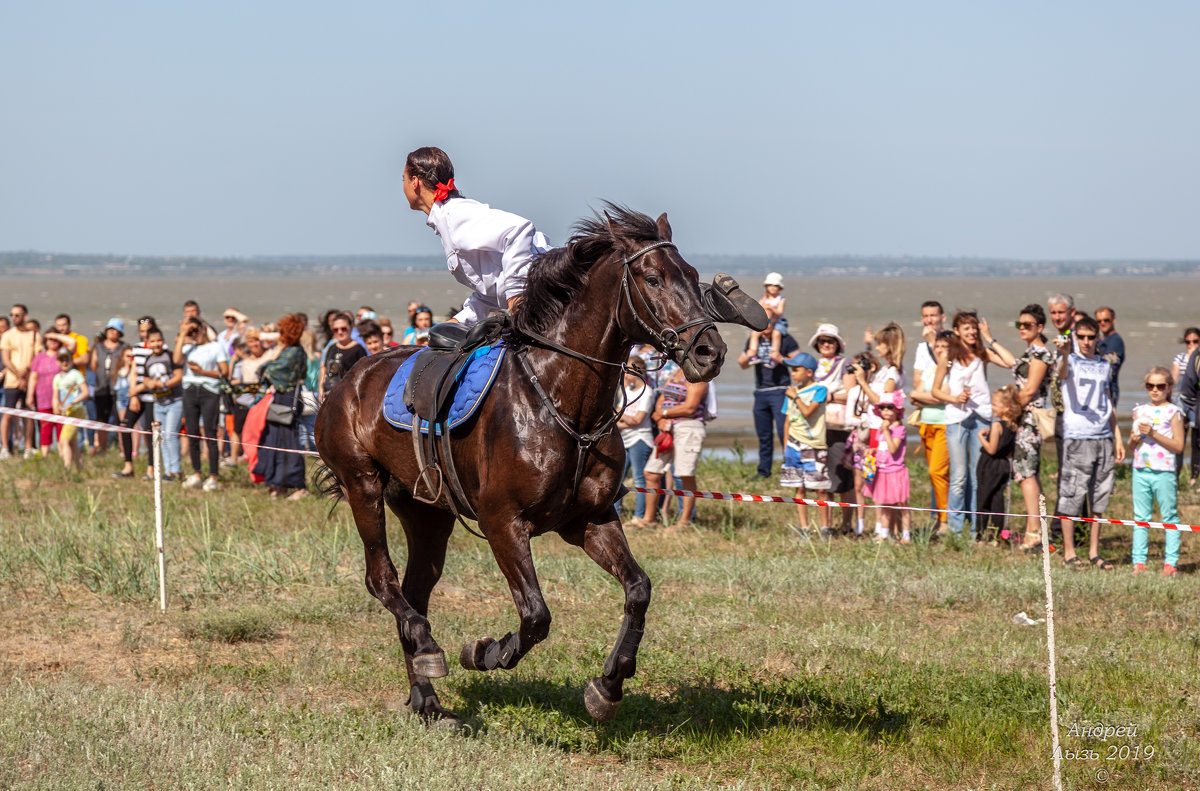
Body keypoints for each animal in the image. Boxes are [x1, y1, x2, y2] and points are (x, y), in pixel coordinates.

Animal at [314, 205, 724, 724]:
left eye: (692, 275)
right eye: (652, 278)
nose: (710, 351)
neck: (561, 400)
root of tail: (346, 378)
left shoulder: (589, 519)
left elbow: (638, 589)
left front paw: (608, 684)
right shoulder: (503, 523)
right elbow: (535, 615)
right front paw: (487, 652)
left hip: (427, 512)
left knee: (416, 591)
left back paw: (427, 698)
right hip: (362, 485)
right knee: (383, 581)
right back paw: (429, 652)